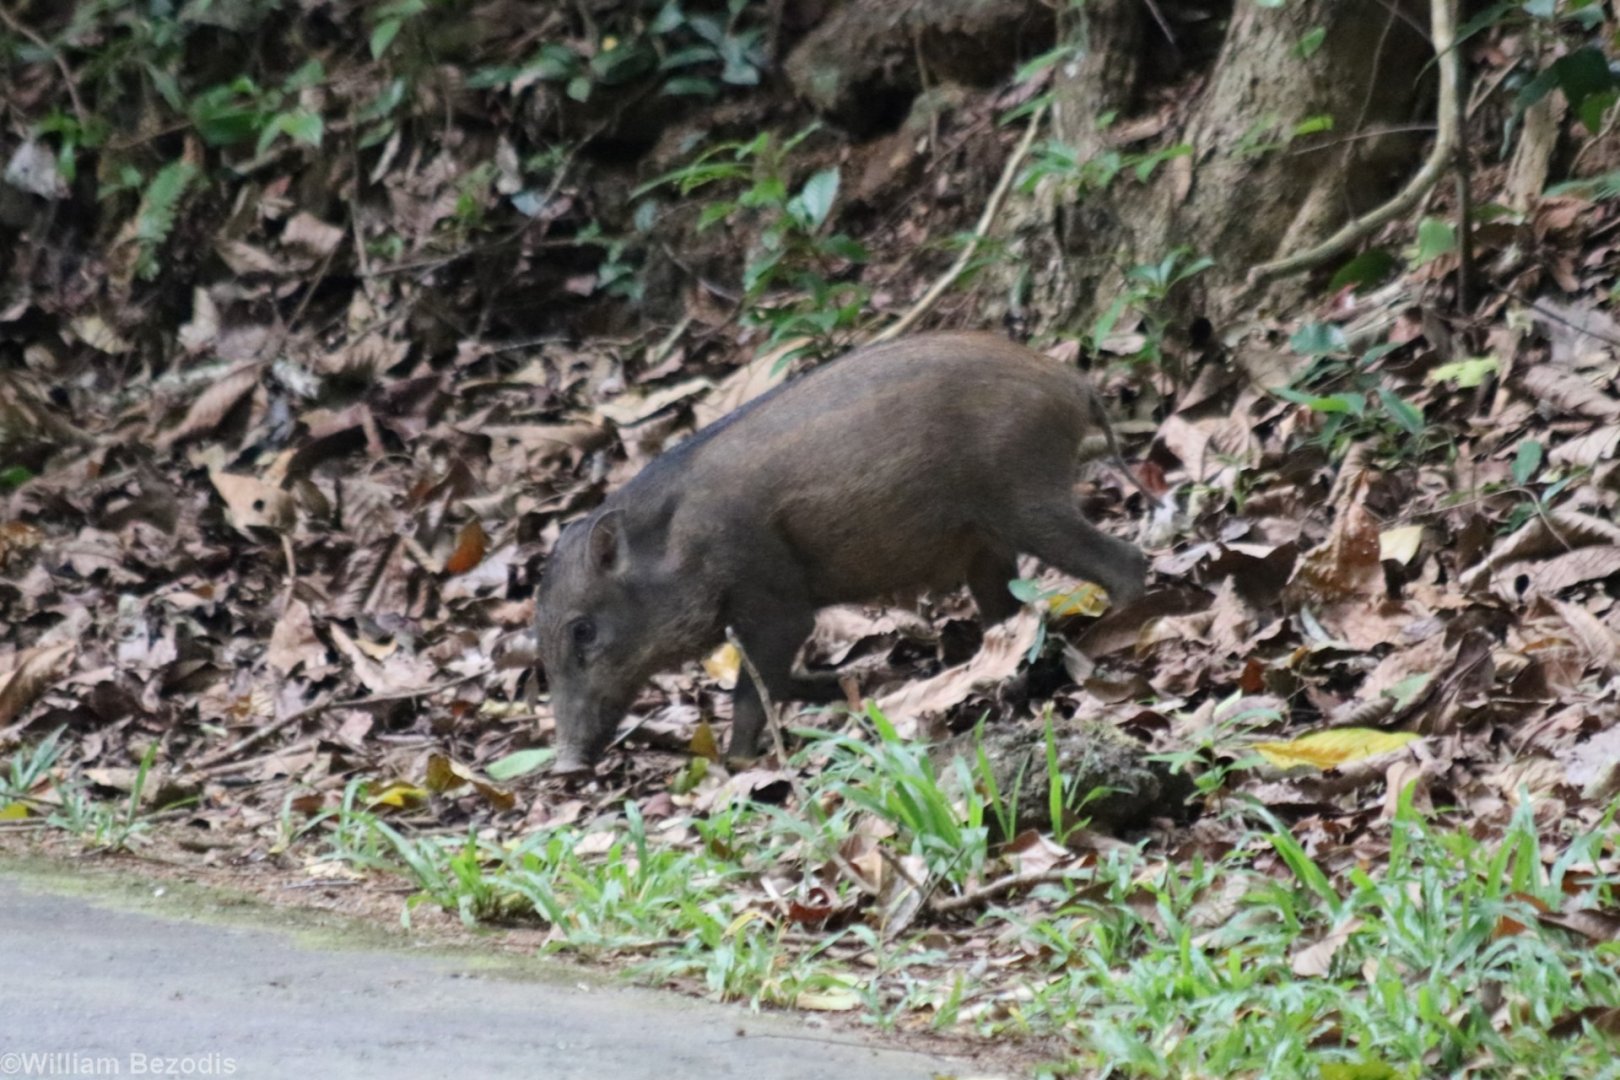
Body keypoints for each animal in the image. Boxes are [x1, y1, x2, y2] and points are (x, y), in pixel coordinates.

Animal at [535, 332, 1149, 772]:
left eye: (583, 631)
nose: (567, 768)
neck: (676, 546)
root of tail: (1072, 382)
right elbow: (780, 681)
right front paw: (859, 689)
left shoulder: (775, 603)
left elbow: (755, 689)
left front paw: (737, 763)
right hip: (989, 544)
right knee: (1010, 619)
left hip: (1026, 500)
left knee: (1126, 563)